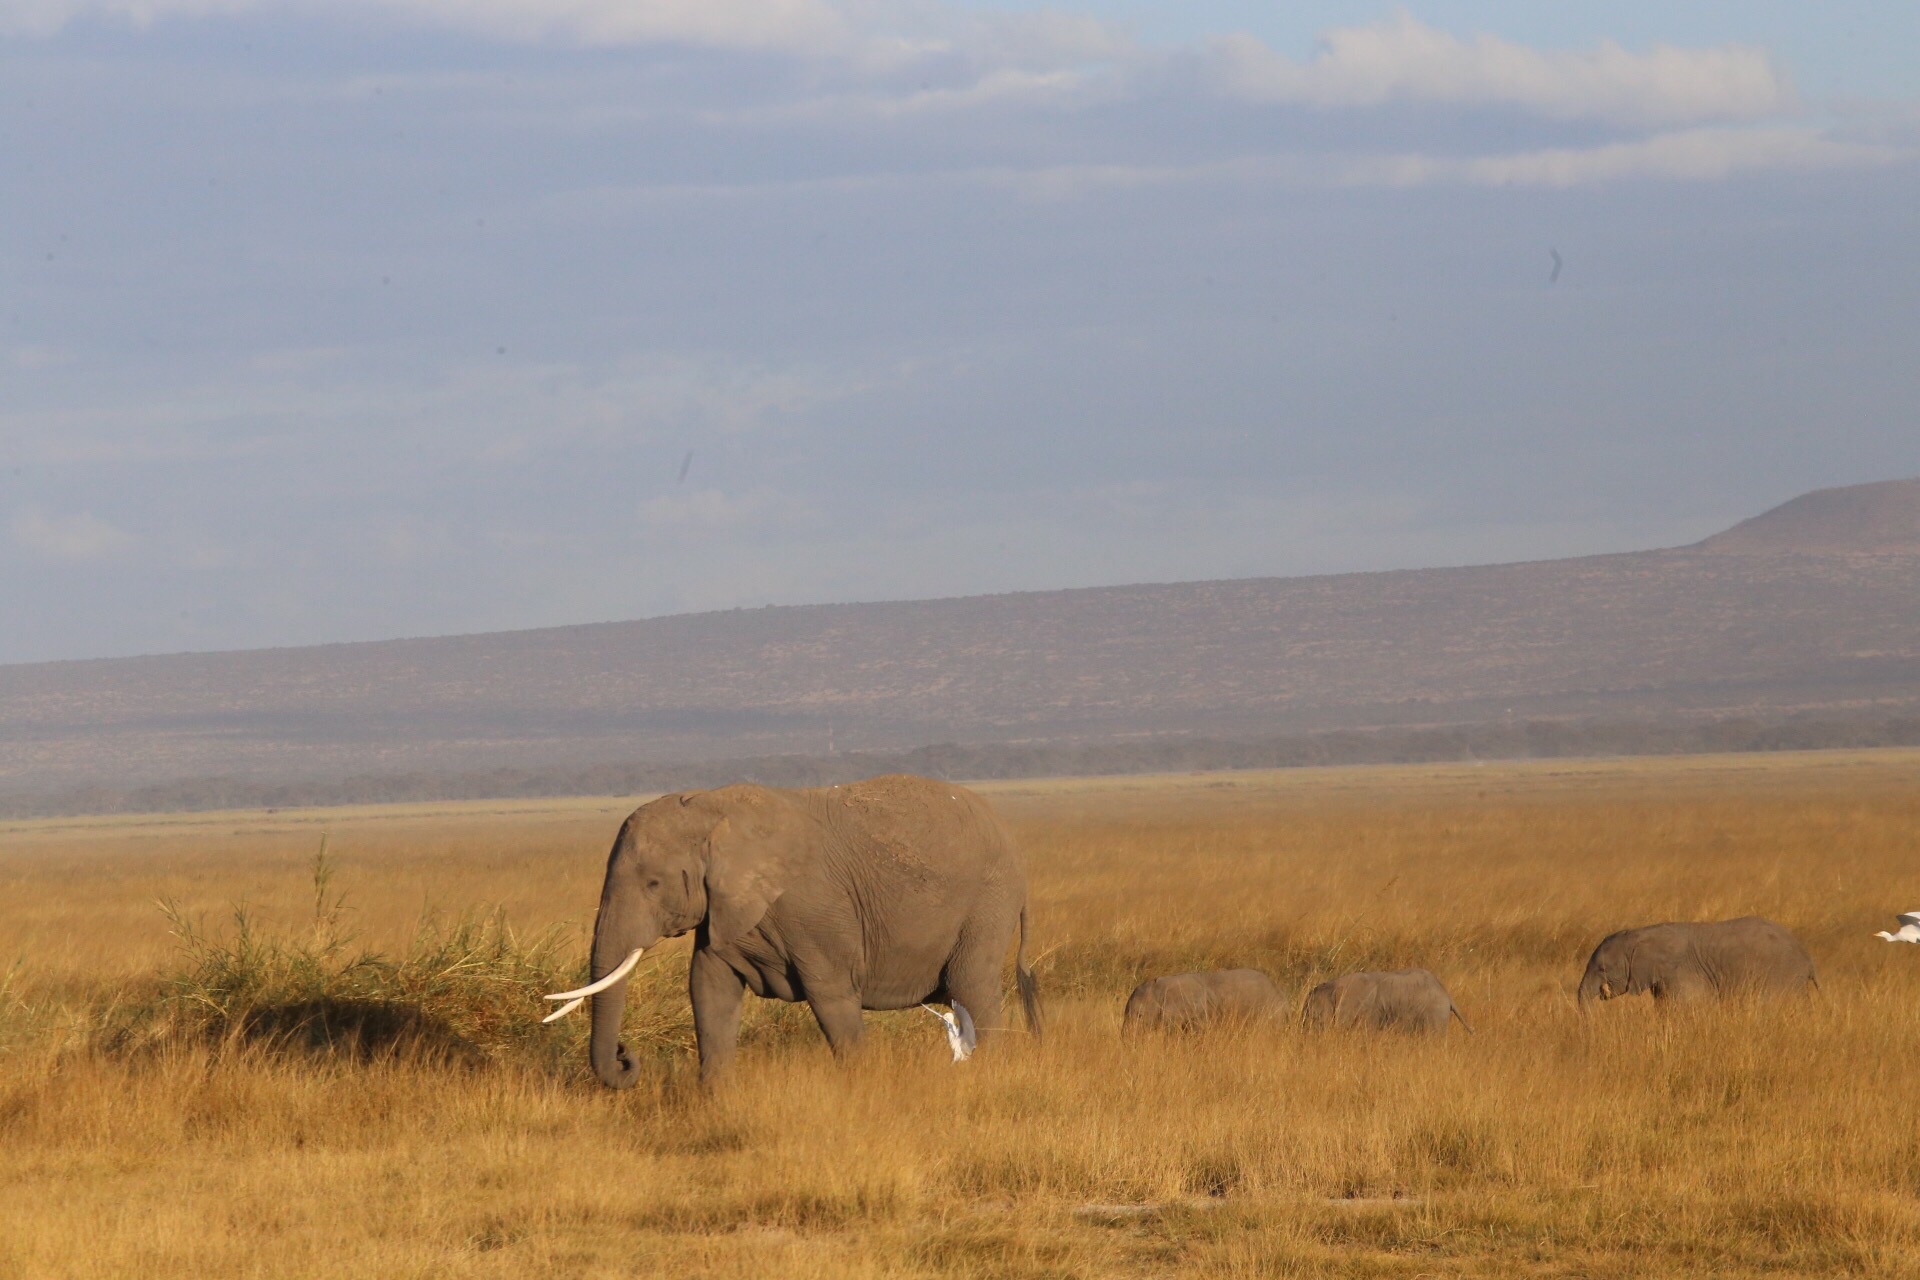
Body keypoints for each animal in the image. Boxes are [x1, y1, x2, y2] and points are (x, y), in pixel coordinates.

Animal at [549, 775, 1044, 1090]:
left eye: (653, 883)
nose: (625, 1056)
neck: (710, 809)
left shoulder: (817, 913)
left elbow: (832, 997)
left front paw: (860, 1090)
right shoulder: (723, 910)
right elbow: (709, 992)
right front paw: (716, 1100)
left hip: (988, 904)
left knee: (973, 990)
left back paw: (985, 1075)